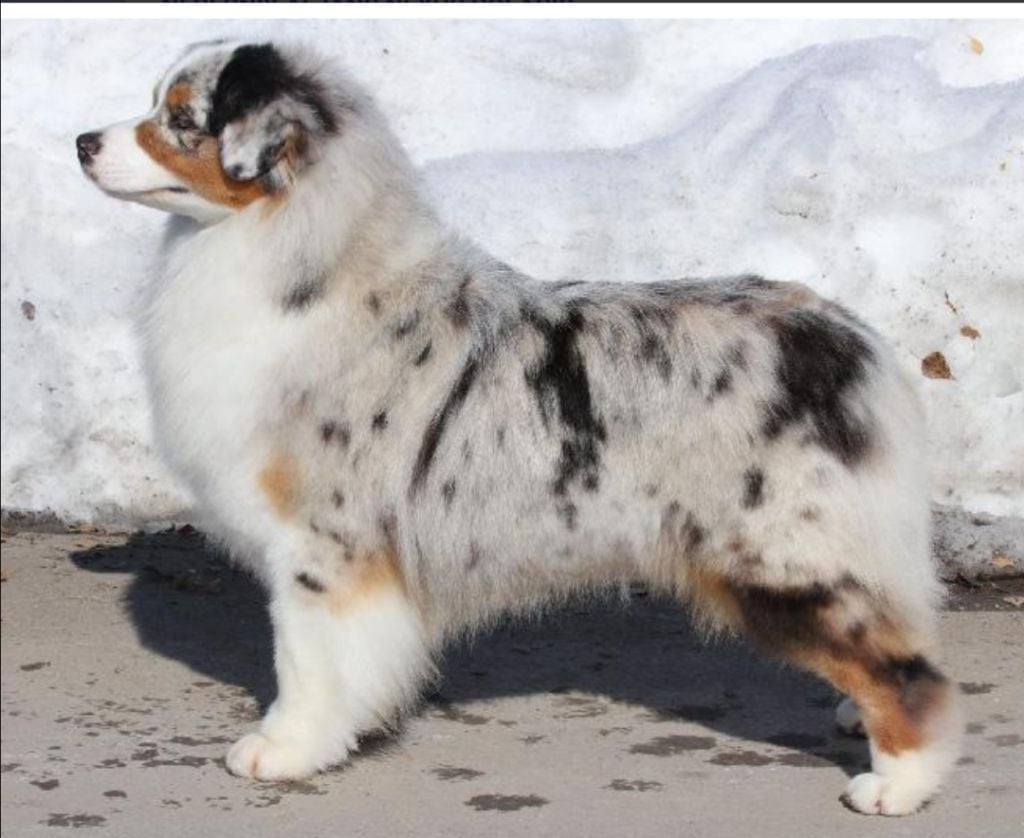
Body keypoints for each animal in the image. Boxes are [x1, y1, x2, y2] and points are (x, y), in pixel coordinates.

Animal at [77, 40, 962, 815]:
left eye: (180, 117)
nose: (82, 141)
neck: (301, 254)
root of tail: (855, 344)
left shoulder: (323, 545)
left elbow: (305, 660)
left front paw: (286, 749)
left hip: (778, 556)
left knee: (910, 677)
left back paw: (896, 786)